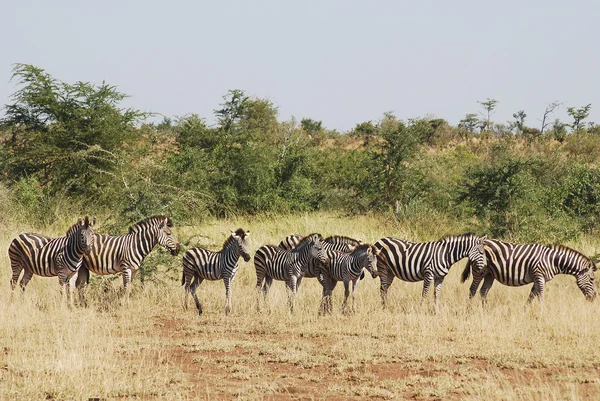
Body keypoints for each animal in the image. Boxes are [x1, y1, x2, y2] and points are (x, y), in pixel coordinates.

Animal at [460, 239, 596, 304]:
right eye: (592, 279)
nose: (594, 298)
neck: (552, 260)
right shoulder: (539, 276)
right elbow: (540, 295)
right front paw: (542, 313)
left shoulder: (538, 278)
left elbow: (531, 296)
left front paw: (526, 312)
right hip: (479, 271)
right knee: (473, 289)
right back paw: (469, 310)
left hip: (490, 274)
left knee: (483, 291)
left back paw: (485, 310)